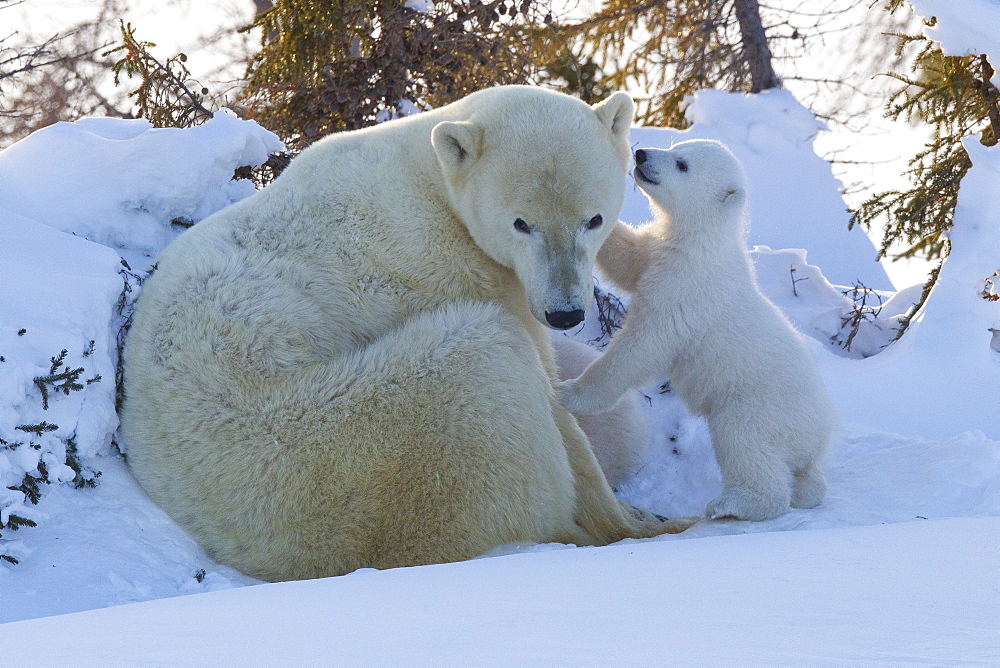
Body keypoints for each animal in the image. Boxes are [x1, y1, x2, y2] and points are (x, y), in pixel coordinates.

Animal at [121, 86, 692, 580]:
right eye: (520, 223)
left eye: (593, 219)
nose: (566, 313)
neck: (432, 179)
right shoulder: (454, 271)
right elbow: (553, 396)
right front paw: (631, 515)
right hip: (357, 432)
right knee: (492, 373)